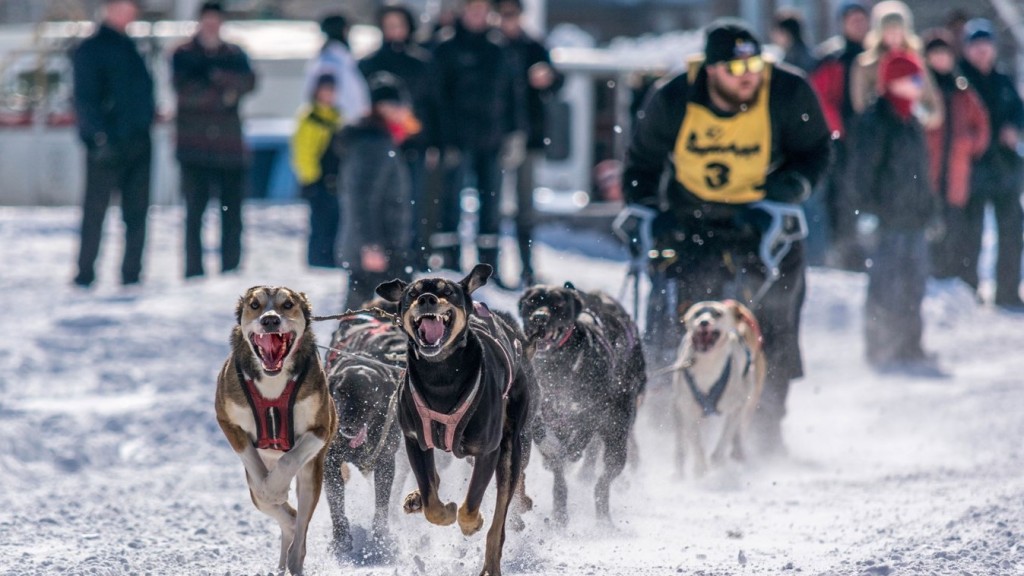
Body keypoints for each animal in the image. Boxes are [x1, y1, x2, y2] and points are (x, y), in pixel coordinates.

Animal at [215, 286, 337, 575]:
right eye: (255, 305)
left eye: (288, 304)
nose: (270, 320)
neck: (273, 383)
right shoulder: (227, 420)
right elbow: (252, 464)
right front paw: (270, 489)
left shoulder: (321, 428)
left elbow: (289, 459)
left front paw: (276, 487)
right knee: (286, 516)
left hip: (311, 476)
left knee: (300, 526)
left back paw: (294, 558)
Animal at [321, 300, 406, 561]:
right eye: (340, 392)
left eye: (369, 396)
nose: (347, 424)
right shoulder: (330, 462)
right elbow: (336, 506)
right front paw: (341, 540)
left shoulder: (386, 461)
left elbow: (381, 506)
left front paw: (380, 541)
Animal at [375, 264, 537, 576]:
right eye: (412, 293)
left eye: (447, 291)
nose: (426, 298)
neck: (441, 374)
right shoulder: (415, 440)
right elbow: (431, 500)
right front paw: (437, 507)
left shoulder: (487, 450)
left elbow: (472, 502)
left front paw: (470, 523)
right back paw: (415, 499)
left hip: (510, 449)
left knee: (499, 524)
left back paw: (491, 561)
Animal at [518, 282, 646, 524]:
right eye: (532, 301)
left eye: (557, 304)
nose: (539, 317)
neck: (558, 368)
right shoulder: (539, 410)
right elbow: (544, 437)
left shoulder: (593, 410)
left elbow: (582, 435)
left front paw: (572, 450)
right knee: (562, 480)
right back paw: (560, 512)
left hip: (617, 442)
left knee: (603, 482)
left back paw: (603, 518)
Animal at [667, 300, 765, 477]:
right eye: (697, 313)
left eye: (717, 313)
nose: (704, 322)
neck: (707, 367)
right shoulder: (688, 411)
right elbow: (696, 444)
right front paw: (701, 470)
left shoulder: (736, 407)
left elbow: (725, 438)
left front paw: (716, 462)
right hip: (678, 411)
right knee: (681, 444)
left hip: (748, 402)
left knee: (738, 432)